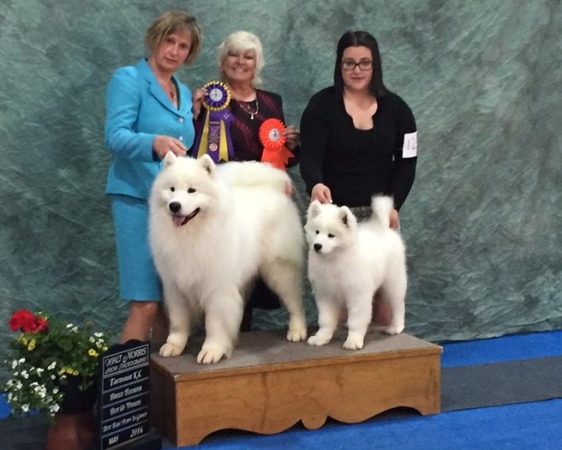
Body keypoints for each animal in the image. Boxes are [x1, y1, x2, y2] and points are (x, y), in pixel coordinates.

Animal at [149, 153, 306, 364]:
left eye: (192, 190)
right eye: (172, 189)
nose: (174, 206)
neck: (191, 235)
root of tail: (270, 189)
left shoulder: (217, 288)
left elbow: (215, 323)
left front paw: (212, 350)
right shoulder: (175, 286)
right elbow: (178, 321)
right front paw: (174, 345)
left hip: (280, 269)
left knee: (295, 301)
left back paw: (298, 330)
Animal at [304, 197, 404, 352]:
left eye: (331, 235)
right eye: (317, 232)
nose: (317, 246)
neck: (333, 260)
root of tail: (383, 228)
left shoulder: (358, 294)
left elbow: (356, 320)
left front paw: (354, 340)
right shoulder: (325, 294)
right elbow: (326, 320)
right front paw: (321, 338)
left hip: (393, 283)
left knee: (398, 305)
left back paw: (396, 327)